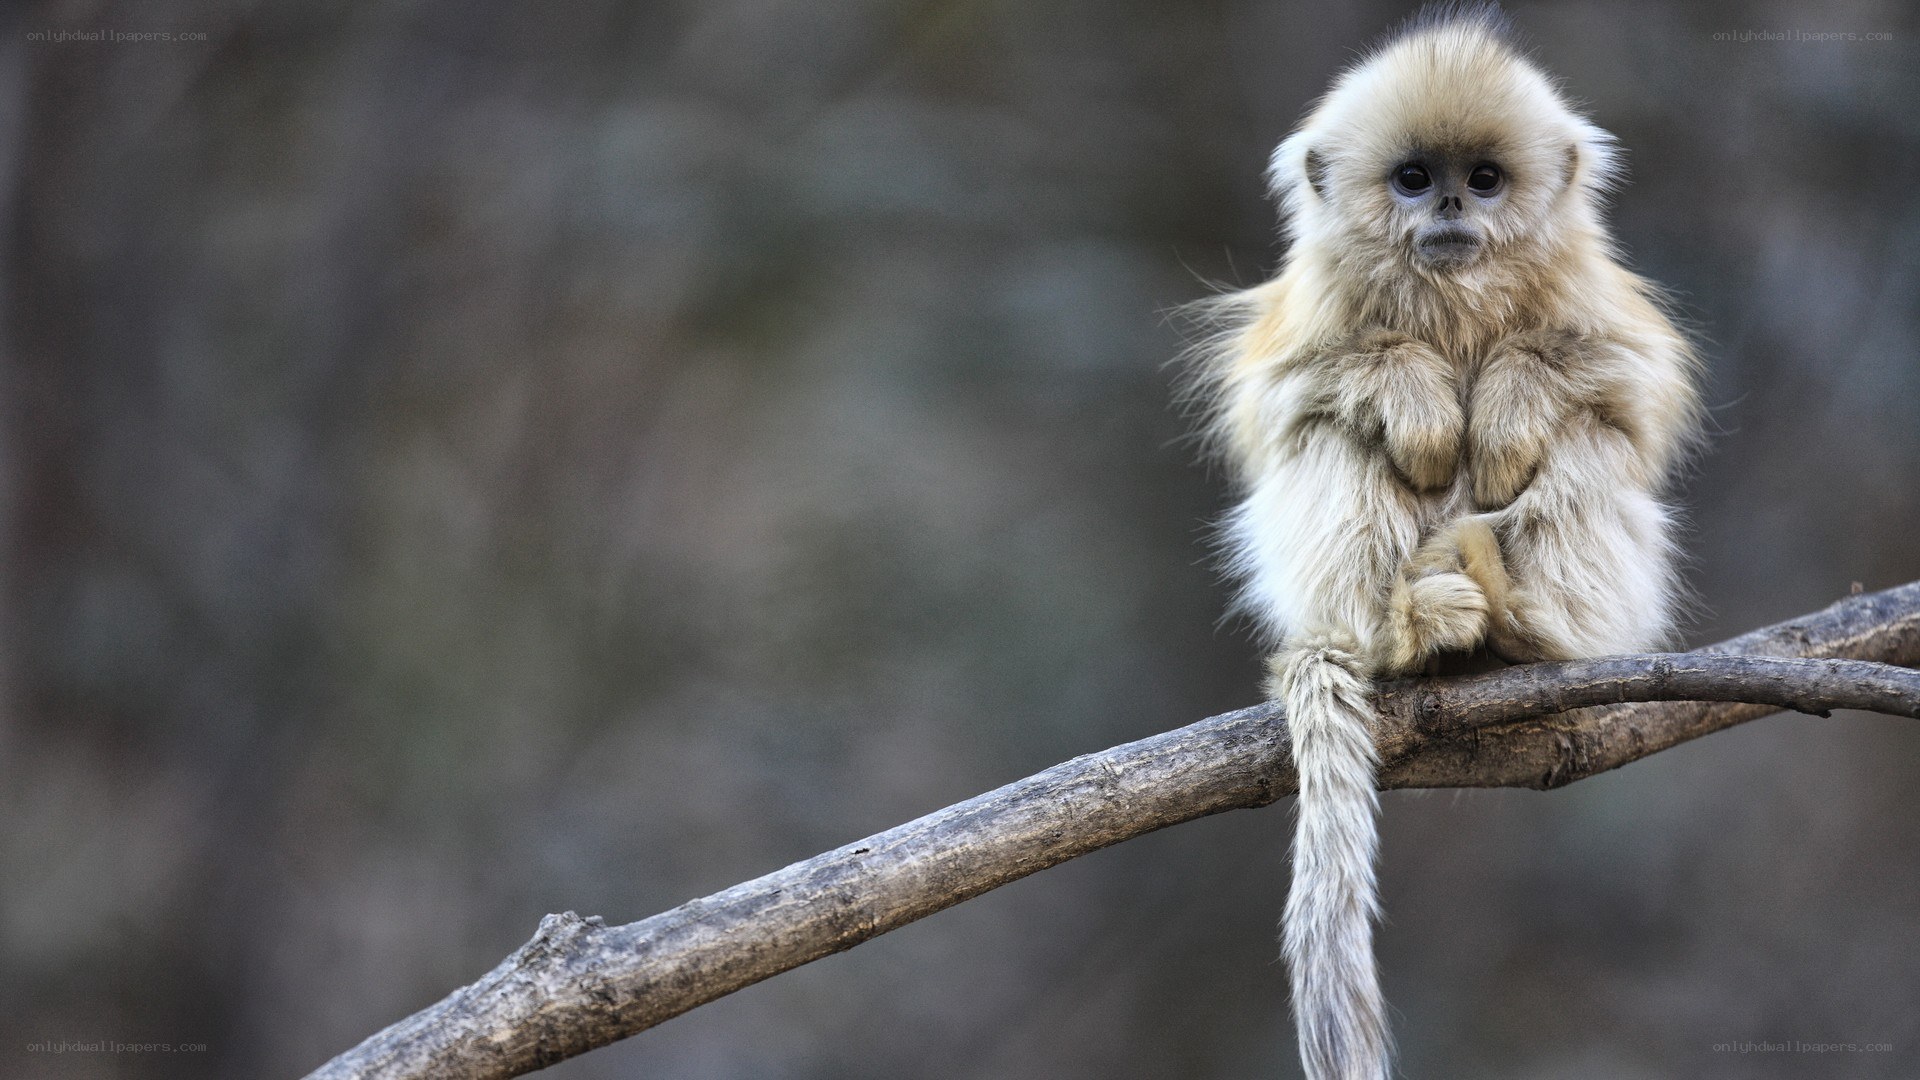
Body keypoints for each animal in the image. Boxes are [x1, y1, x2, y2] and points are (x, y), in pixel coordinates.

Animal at [1184, 8, 1701, 1079]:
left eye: (1487, 178)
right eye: (1415, 177)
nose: (1455, 204)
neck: (1453, 294)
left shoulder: (1598, 305)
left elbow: (1625, 387)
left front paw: (1503, 409)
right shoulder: (1310, 316)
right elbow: (1290, 397)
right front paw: (1420, 400)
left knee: (1586, 440)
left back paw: (1521, 622)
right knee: (1333, 436)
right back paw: (1409, 631)